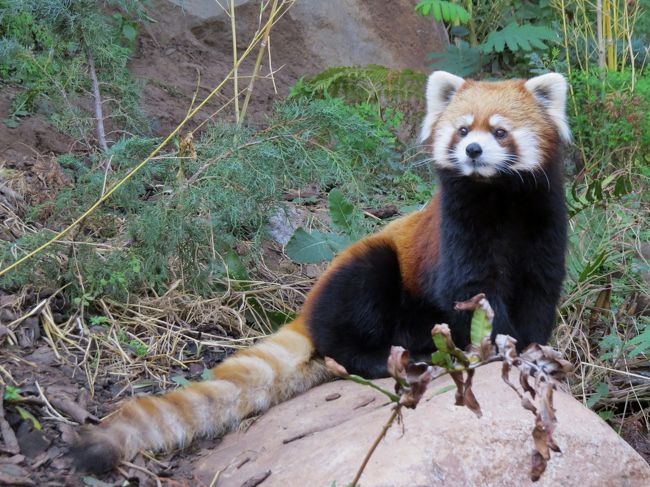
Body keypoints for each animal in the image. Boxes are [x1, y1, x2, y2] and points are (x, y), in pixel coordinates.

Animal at [72, 71, 568, 472]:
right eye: (463, 128)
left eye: (499, 131)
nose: (473, 149)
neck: (498, 199)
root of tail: (308, 309)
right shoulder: (457, 231)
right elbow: (472, 292)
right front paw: (506, 349)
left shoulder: (543, 227)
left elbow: (539, 295)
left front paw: (537, 353)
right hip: (366, 268)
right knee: (353, 314)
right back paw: (396, 358)